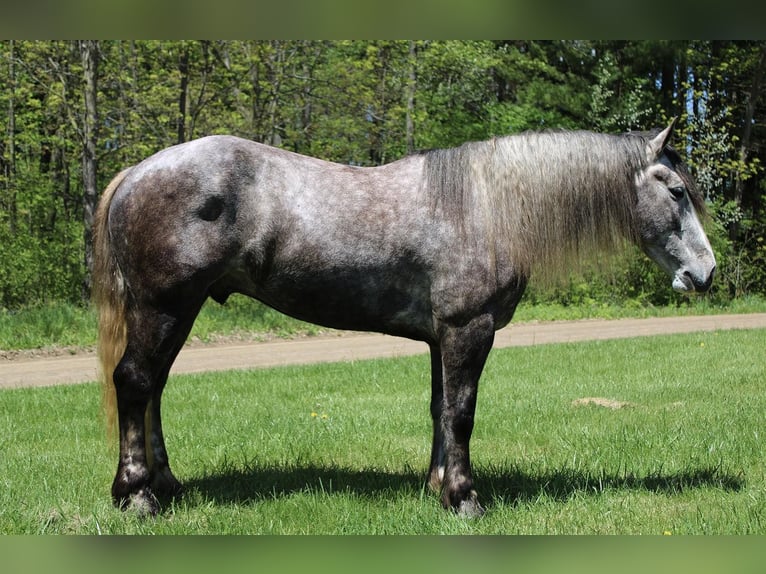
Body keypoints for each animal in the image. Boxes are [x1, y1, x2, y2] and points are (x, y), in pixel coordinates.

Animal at [93, 119, 716, 520]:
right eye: (677, 192)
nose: (705, 273)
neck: (485, 206)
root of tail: (135, 172)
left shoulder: (442, 338)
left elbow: (441, 410)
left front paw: (438, 485)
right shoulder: (469, 329)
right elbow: (462, 414)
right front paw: (464, 499)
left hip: (182, 310)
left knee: (154, 390)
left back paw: (165, 484)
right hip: (165, 307)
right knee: (135, 382)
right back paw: (137, 495)